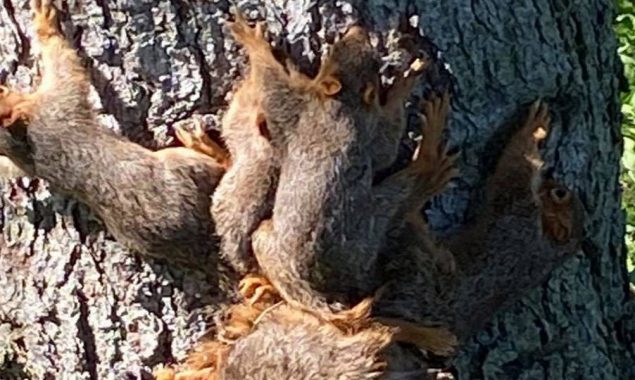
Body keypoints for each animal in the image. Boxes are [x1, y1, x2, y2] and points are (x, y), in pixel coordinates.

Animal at [0, 0, 227, 274]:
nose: (3, 85)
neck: (21, 136)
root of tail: (197, 245)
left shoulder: (25, 156)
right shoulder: (59, 104)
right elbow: (64, 62)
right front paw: (45, 23)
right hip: (184, 169)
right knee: (217, 169)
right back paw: (209, 147)